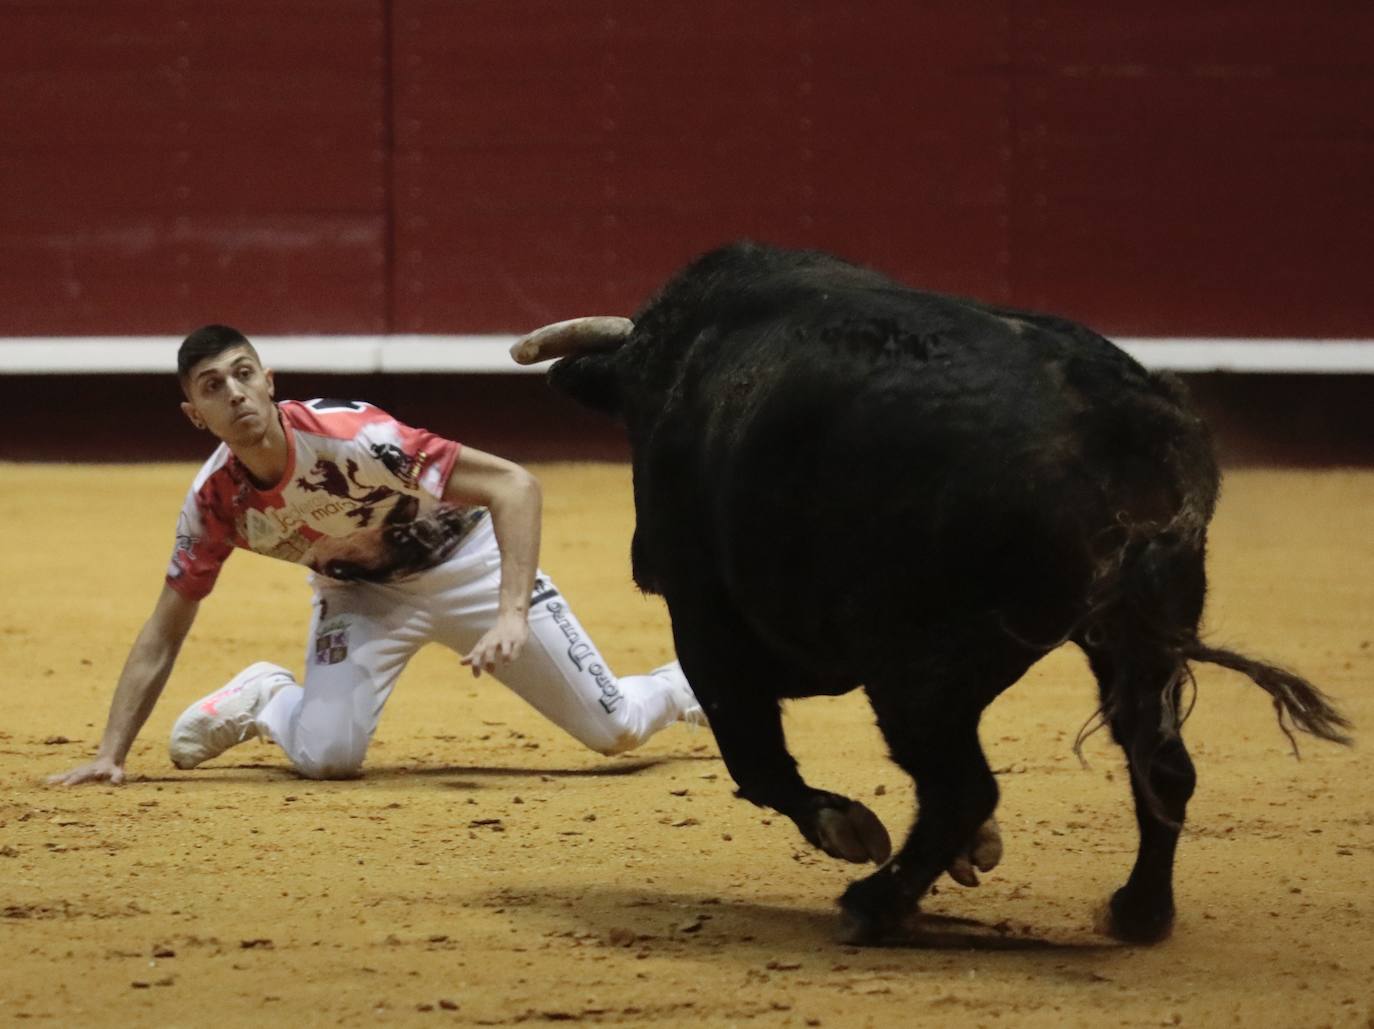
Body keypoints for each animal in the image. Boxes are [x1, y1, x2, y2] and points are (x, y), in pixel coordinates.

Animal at [516, 243, 1352, 945]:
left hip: (918, 671)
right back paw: (1138, 911)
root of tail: (1118, 423)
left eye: (634, 420)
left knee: (962, 786)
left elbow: (754, 755)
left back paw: (873, 903)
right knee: (1161, 764)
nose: (639, 558)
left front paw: (848, 828)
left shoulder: (708, 619)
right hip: (1134, 639)